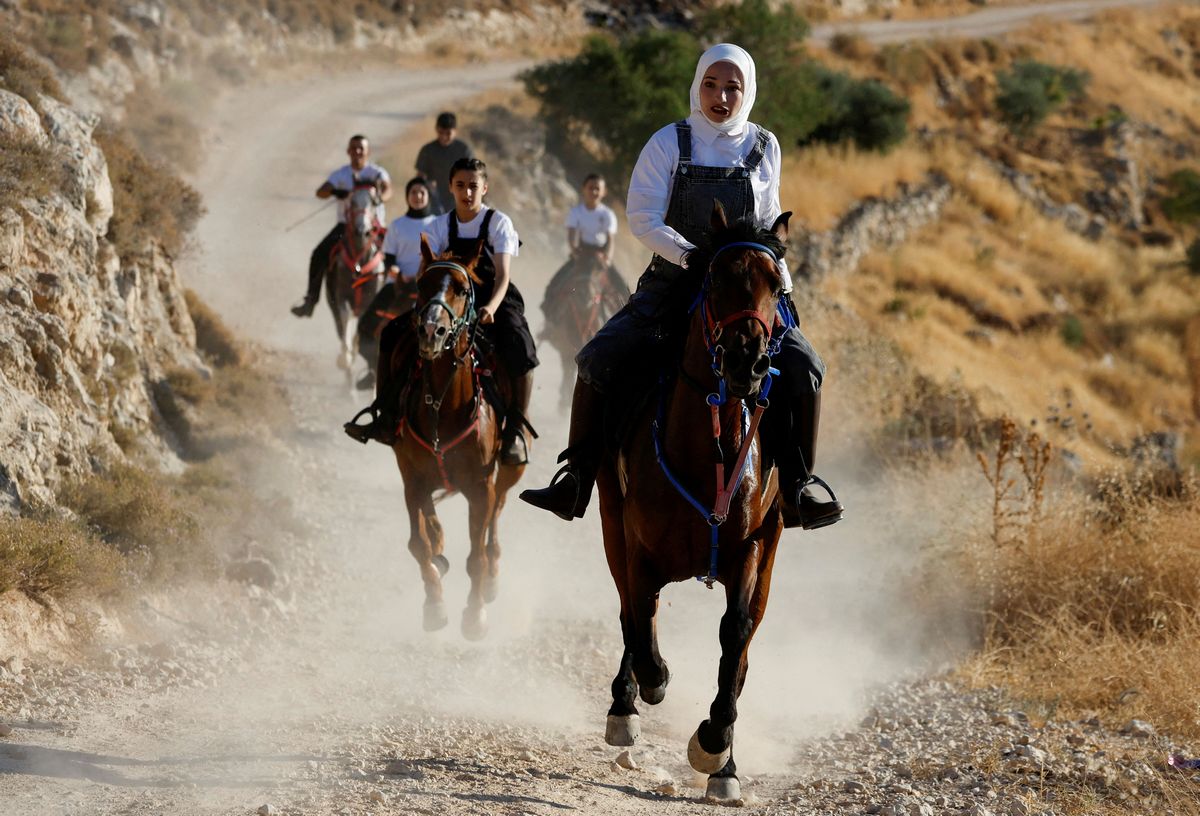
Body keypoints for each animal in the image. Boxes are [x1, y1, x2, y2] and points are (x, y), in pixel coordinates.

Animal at [324, 182, 384, 386]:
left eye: (374, 202)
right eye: (351, 201)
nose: (362, 230)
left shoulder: (370, 301)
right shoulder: (341, 296)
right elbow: (345, 319)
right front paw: (345, 358)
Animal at [396, 232, 523, 638]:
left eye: (463, 290)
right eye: (422, 285)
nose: (431, 331)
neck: (443, 407)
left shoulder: (480, 488)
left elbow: (476, 556)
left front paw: (474, 615)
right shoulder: (412, 480)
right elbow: (418, 543)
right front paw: (435, 605)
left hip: (509, 471)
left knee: (498, 511)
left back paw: (494, 575)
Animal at [542, 248, 633, 410]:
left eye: (601, 269)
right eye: (578, 264)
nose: (584, 295)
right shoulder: (567, 348)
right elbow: (568, 369)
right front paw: (564, 400)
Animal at [597, 204, 787, 801]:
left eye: (777, 285)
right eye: (717, 279)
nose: (748, 363)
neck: (710, 451)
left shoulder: (754, 550)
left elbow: (735, 637)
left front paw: (715, 745)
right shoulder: (635, 546)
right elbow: (640, 617)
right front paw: (646, 691)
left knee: (740, 652)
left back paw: (725, 764)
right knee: (630, 612)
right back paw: (626, 705)